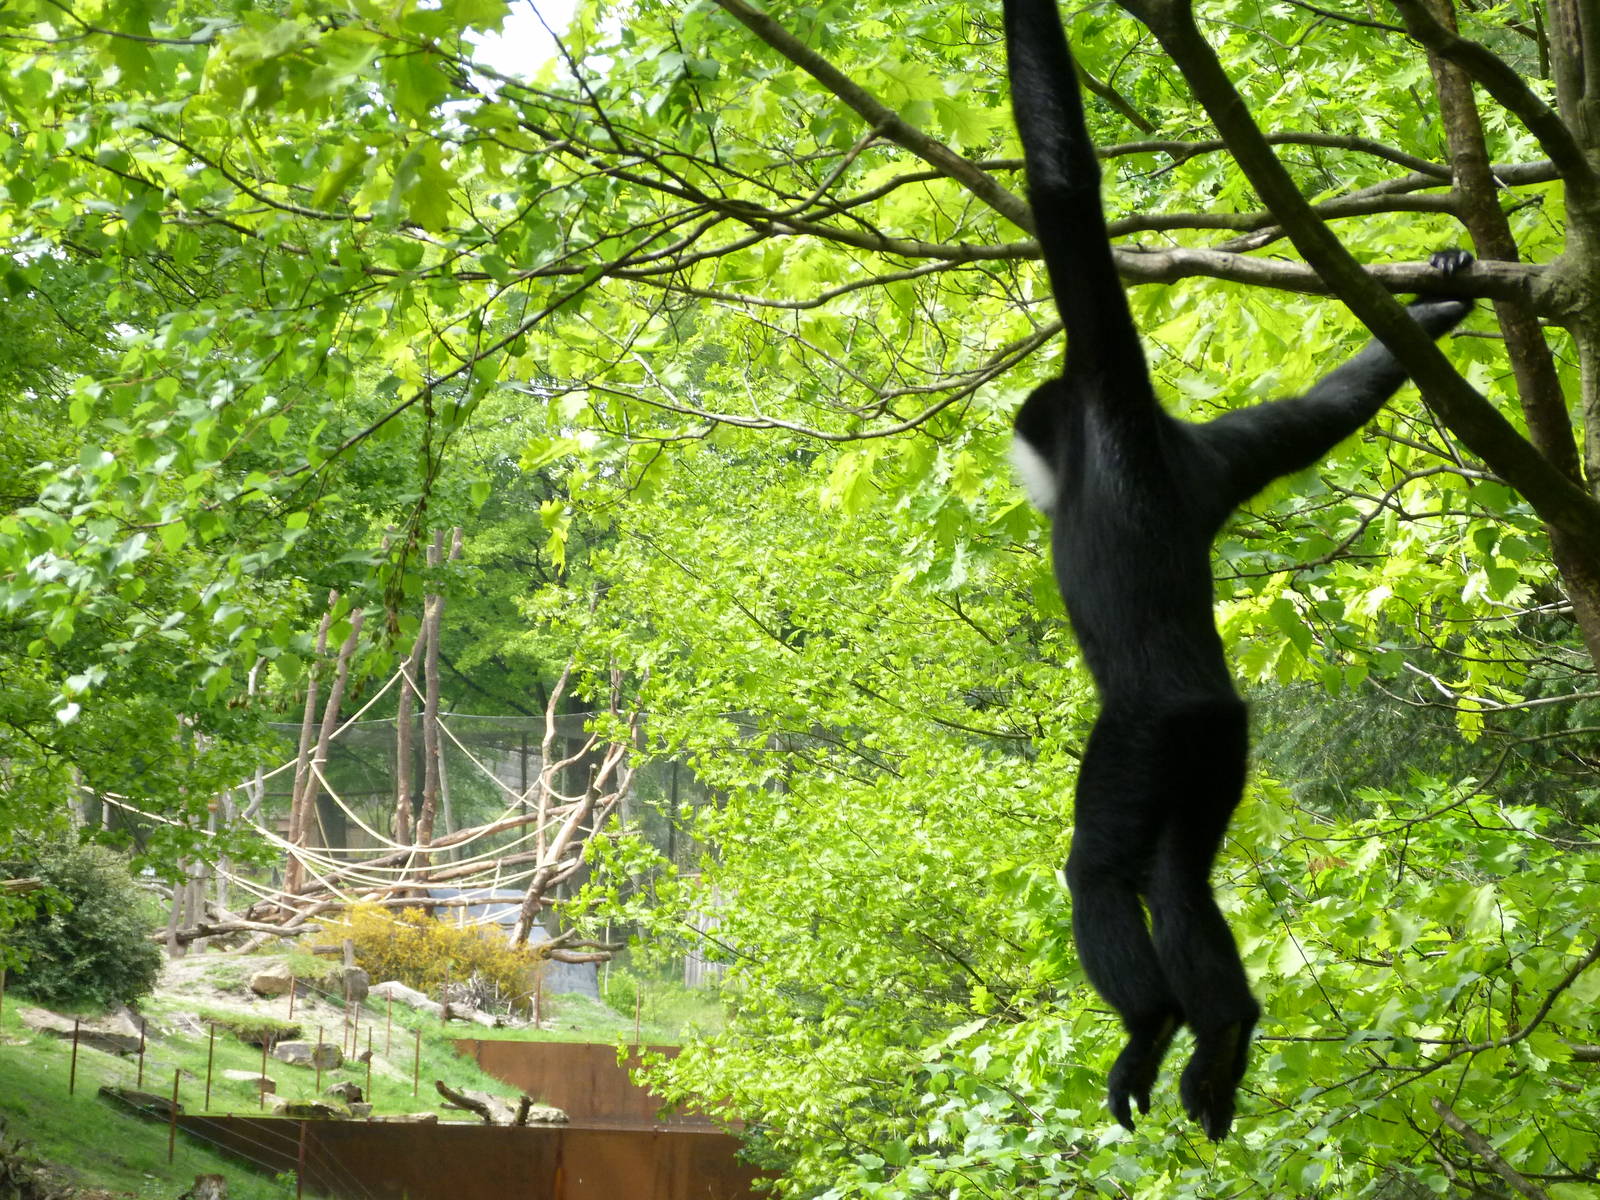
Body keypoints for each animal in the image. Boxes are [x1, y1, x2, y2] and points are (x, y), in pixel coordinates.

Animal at [1000, 0, 1473, 1140]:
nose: (1024, 464)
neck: (1116, 451)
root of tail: (1205, 703)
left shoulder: (1111, 389)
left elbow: (1066, 190)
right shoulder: (1214, 453)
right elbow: (1311, 418)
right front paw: (1439, 302)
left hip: (1147, 739)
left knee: (1105, 869)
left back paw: (1156, 1026)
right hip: (1221, 744)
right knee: (1181, 876)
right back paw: (1225, 1033)